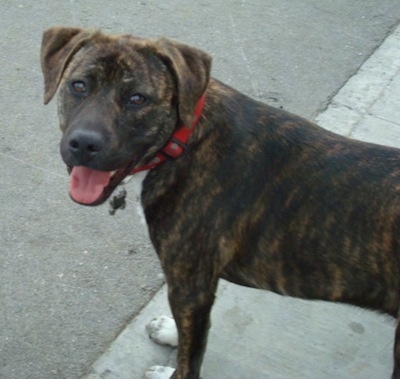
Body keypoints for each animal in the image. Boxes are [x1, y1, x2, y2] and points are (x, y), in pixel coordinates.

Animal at [41, 27, 400, 379]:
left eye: (137, 99)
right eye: (79, 85)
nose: (84, 144)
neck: (183, 141)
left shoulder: (190, 284)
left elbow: (190, 359)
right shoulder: (195, 291)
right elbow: (191, 334)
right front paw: (171, 332)